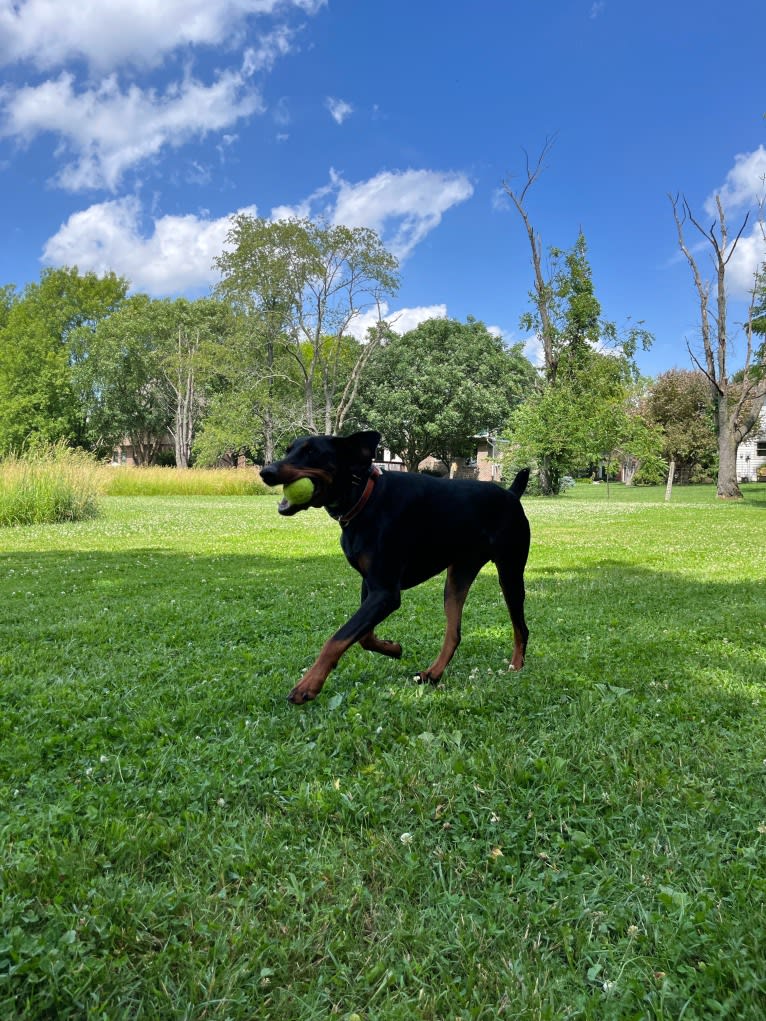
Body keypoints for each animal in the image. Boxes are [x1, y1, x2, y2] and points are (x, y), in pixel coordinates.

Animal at [261, 430, 531, 702]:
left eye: (312, 452)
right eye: (289, 450)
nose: (266, 472)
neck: (364, 498)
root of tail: (511, 494)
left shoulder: (385, 592)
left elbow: (337, 638)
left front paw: (308, 685)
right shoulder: (370, 584)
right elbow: (363, 637)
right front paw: (393, 648)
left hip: (510, 573)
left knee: (522, 628)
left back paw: (515, 668)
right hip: (458, 577)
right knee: (454, 633)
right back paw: (432, 674)